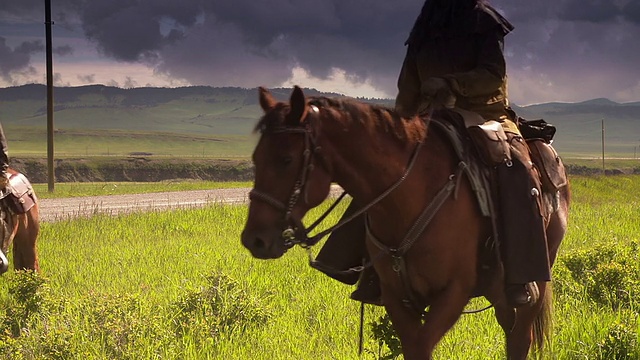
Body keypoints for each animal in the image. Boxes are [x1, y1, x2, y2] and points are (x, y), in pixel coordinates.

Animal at [240, 86, 568, 358]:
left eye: (286, 159)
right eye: (256, 157)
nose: (254, 239)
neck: (411, 193)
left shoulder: (453, 292)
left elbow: (422, 347)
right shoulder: (397, 297)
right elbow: (413, 347)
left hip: (534, 281)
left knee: (520, 337)